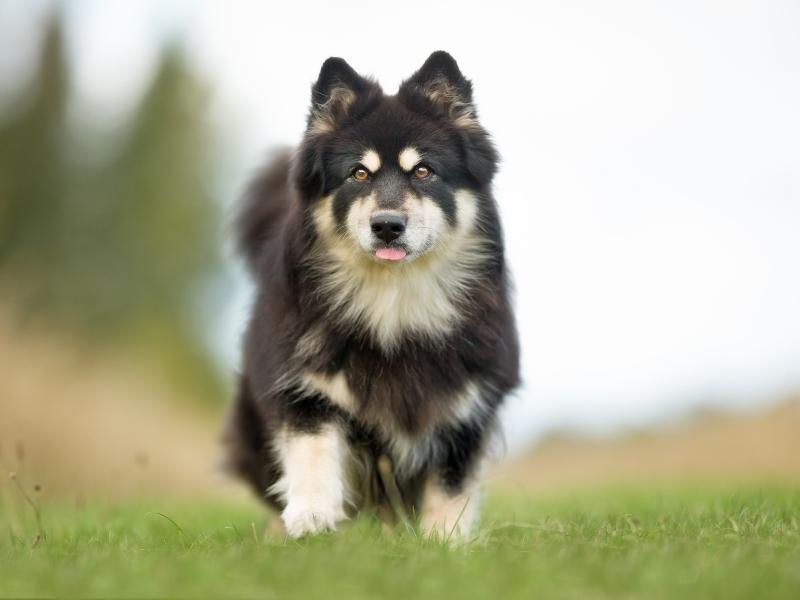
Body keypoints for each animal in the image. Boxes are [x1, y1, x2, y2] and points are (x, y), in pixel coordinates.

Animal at [223, 51, 520, 540]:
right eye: (358, 173)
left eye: (423, 170)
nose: (387, 225)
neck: (392, 302)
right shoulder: (304, 389)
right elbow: (312, 449)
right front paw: (312, 516)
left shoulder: (466, 408)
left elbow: (450, 488)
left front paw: (445, 543)